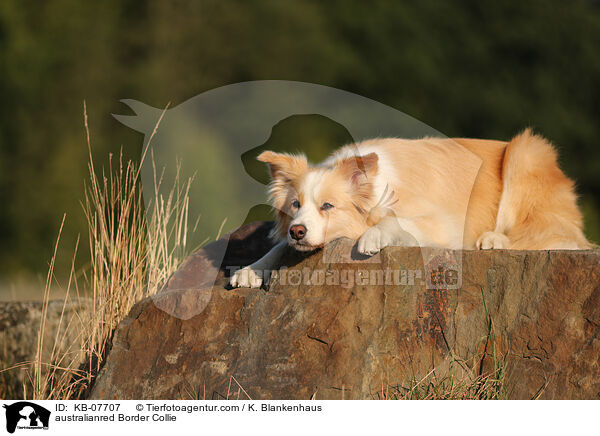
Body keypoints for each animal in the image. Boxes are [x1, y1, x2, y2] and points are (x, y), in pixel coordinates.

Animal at [230, 127, 592, 288]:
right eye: (295, 206)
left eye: (328, 206)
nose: (297, 231)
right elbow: (277, 248)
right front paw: (250, 270)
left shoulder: (443, 222)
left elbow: (397, 223)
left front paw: (372, 237)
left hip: (525, 152)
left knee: (557, 235)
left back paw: (494, 239)